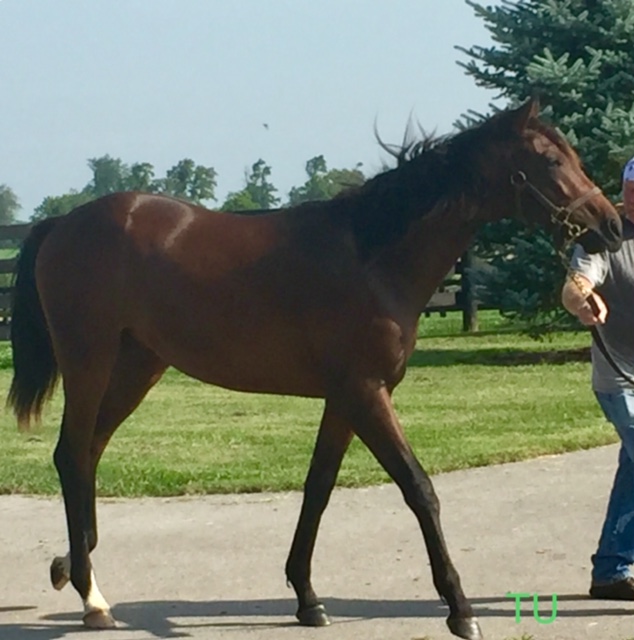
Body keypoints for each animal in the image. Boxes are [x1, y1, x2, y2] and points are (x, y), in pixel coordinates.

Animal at [6, 97, 624, 636]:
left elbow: (318, 488)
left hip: (138, 366)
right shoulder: (367, 393)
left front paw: (306, 598)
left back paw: (74, 570)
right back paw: (91, 597)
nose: (612, 226)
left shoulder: (343, 399)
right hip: (89, 361)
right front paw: (460, 609)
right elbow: (419, 489)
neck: (372, 258)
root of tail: (61, 224)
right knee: (71, 456)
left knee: (87, 453)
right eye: (551, 161)